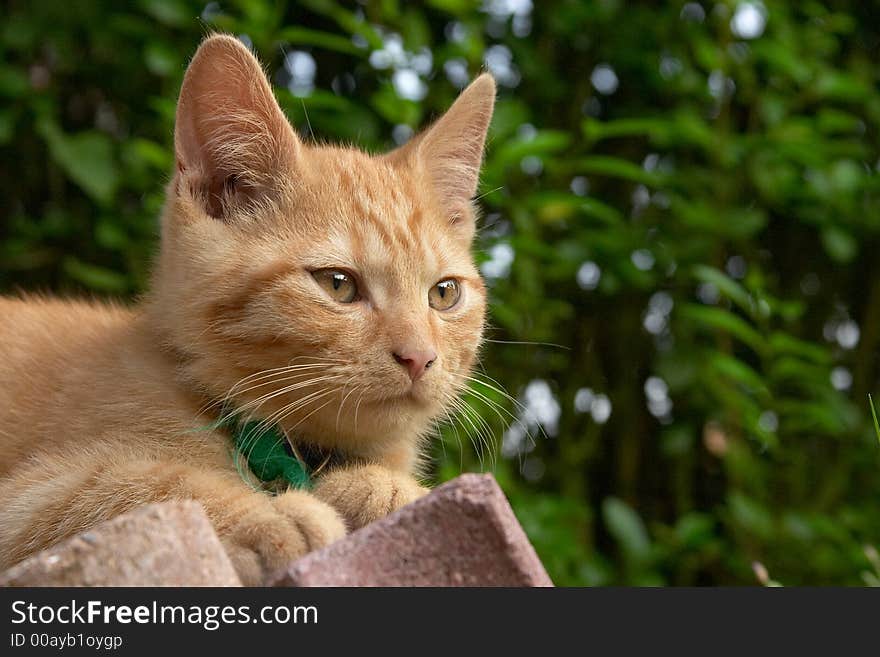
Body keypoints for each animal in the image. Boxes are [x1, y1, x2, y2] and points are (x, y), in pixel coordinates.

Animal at [0, 33, 496, 584]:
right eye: (339, 285)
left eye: (444, 294)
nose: (419, 357)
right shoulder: (23, 501)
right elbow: (126, 484)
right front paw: (264, 515)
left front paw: (381, 487)